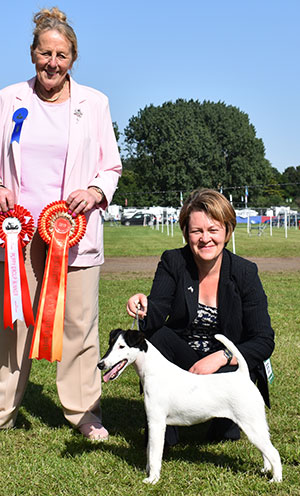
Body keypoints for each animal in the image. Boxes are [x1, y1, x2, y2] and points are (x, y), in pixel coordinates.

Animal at [98, 330, 282, 484]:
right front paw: (148, 472)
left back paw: (276, 480)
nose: (101, 364)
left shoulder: (157, 423)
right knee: (266, 450)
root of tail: (242, 375)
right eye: (110, 344)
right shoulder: (151, 423)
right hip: (256, 425)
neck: (153, 371)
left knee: (274, 453)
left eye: (122, 346)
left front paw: (152, 479)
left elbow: (155, 455)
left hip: (251, 424)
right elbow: (150, 452)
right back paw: (266, 470)